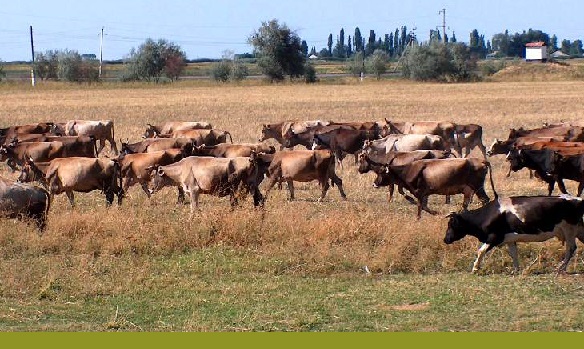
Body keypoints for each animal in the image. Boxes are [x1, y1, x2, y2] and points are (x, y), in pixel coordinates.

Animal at [442, 194, 584, 274]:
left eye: (451, 224)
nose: (445, 239)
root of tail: (578, 199)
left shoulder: (494, 237)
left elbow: (480, 251)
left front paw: (475, 269)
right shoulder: (509, 239)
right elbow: (514, 254)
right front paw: (515, 270)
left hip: (569, 229)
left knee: (571, 248)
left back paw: (560, 268)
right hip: (577, 230)